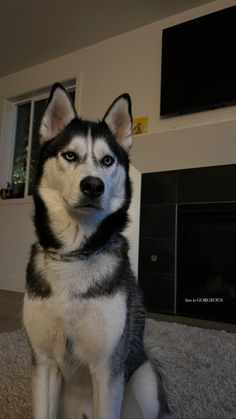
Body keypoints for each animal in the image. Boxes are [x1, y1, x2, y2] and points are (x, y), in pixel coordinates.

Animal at [23, 85, 171, 419]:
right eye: (70, 155)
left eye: (107, 160)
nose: (93, 185)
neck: (74, 255)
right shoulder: (43, 362)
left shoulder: (106, 369)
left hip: (144, 379)